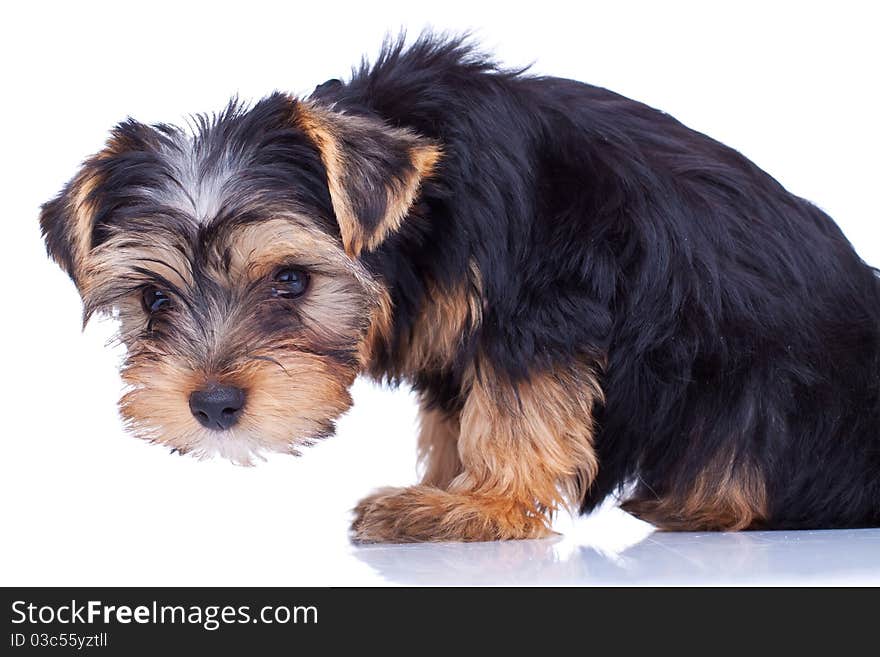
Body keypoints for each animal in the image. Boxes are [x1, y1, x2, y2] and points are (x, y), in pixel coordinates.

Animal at [41, 36, 880, 540]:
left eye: (292, 279)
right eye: (153, 300)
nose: (212, 405)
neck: (419, 219)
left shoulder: (542, 298)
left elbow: (514, 404)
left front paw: (480, 502)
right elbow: (454, 409)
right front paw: (449, 482)